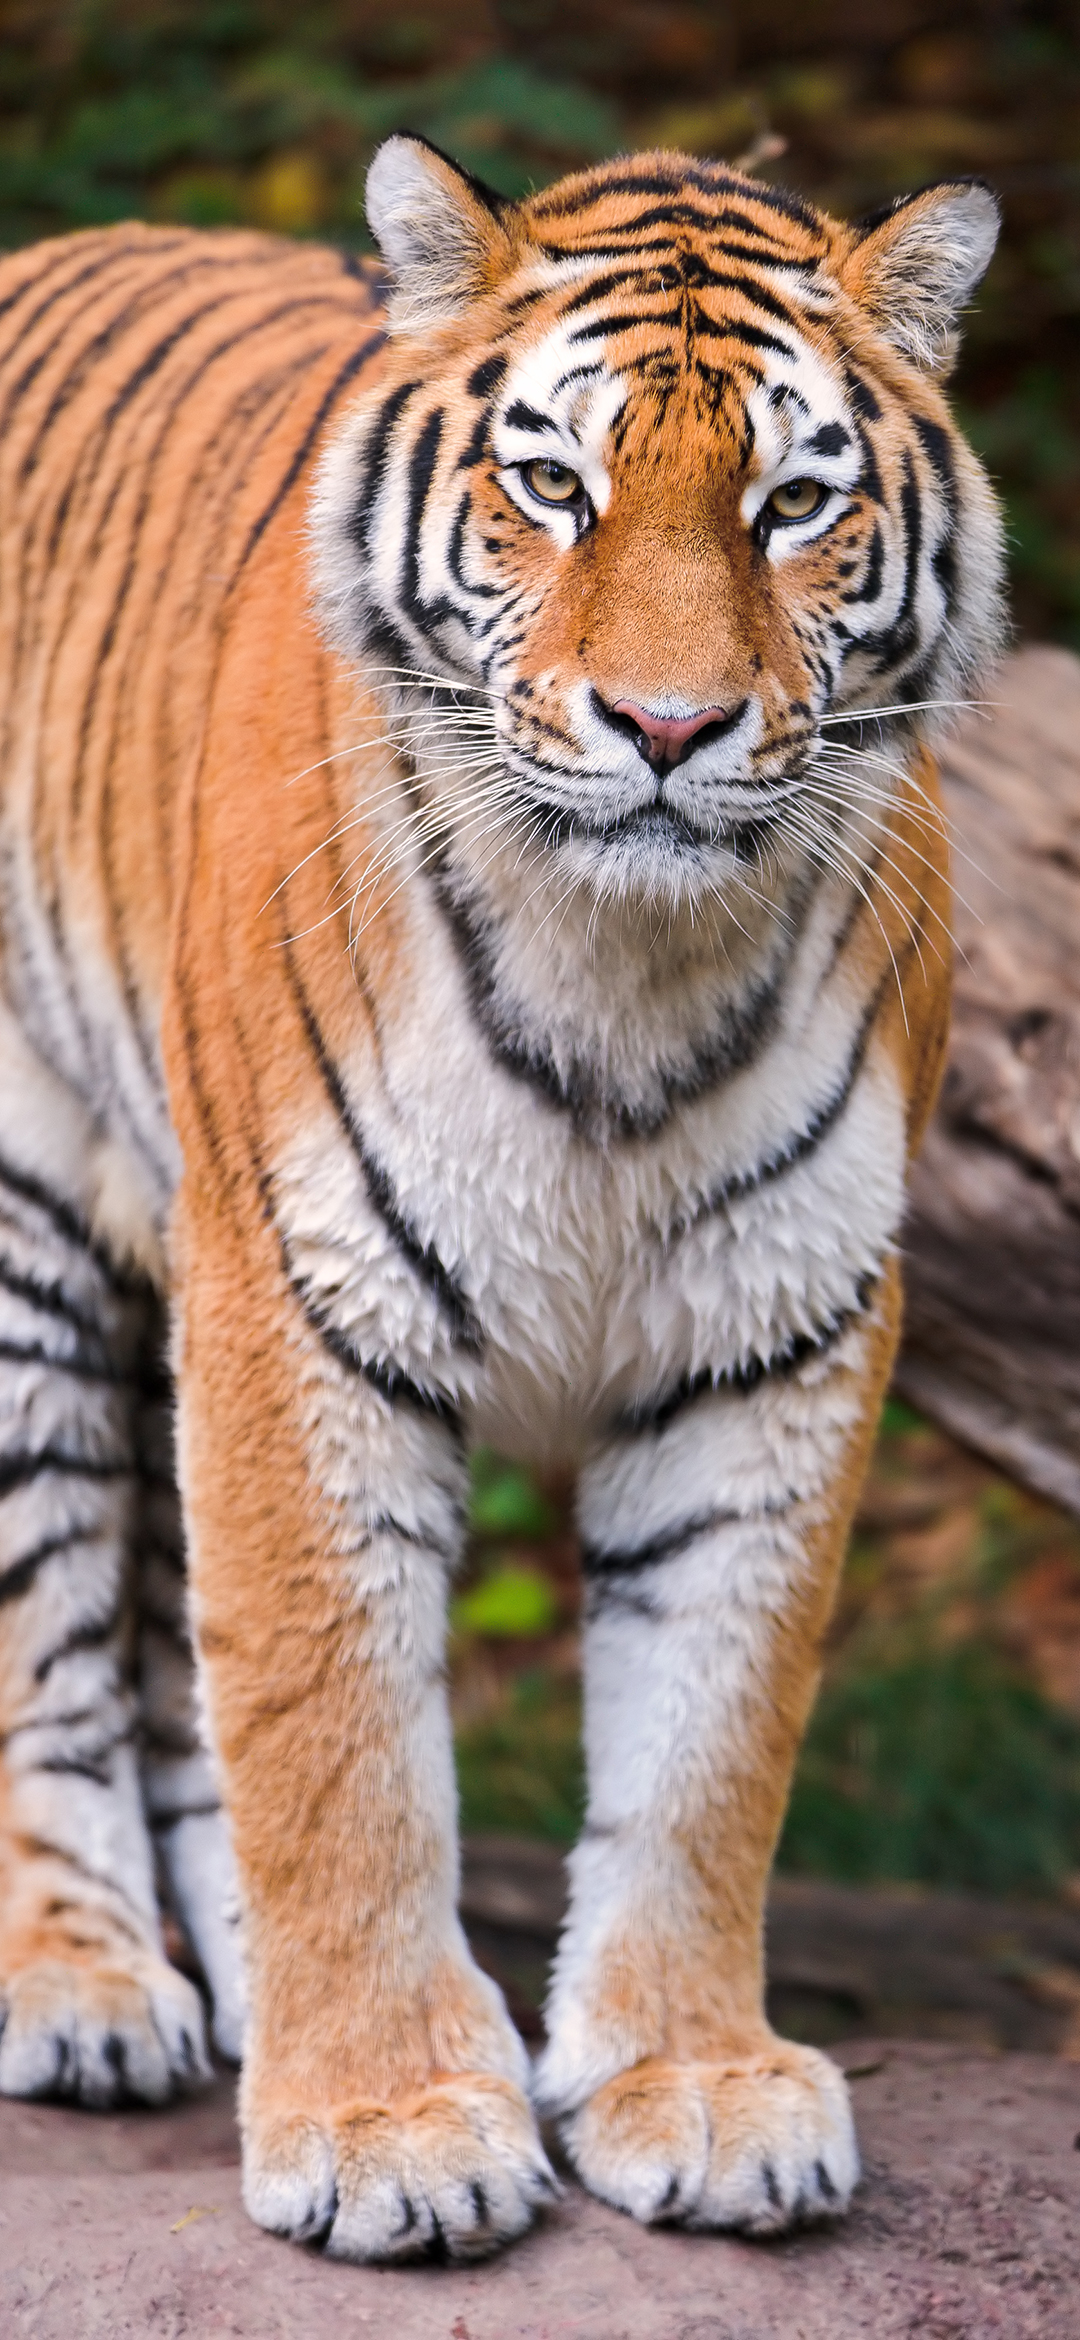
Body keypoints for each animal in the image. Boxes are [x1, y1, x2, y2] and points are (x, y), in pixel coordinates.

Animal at [0, 136, 1000, 2255]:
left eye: (796, 502)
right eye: (554, 484)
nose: (670, 729)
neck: (634, 967)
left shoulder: (779, 1325)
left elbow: (712, 1738)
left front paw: (691, 2082)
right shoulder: (295, 1292)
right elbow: (333, 1725)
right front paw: (385, 2118)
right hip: (26, 1231)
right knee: (46, 1643)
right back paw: (84, 1984)